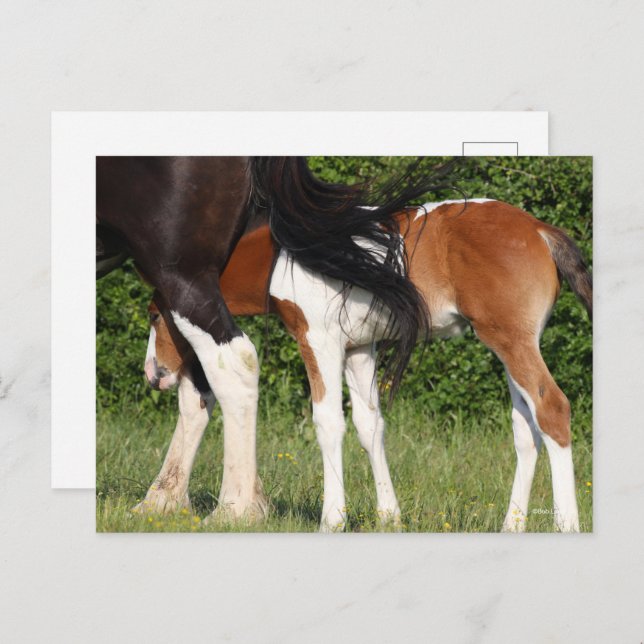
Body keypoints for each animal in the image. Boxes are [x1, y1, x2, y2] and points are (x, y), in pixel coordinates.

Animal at [96, 156, 444, 522]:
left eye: (152, 316)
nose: (153, 374)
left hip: (181, 273)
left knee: (234, 367)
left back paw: (234, 508)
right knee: (203, 389)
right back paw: (164, 500)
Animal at [143, 198, 592, 532]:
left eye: (154, 315)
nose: (153, 374)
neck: (285, 255)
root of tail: (539, 230)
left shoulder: (319, 340)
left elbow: (328, 422)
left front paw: (332, 520)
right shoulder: (360, 348)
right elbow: (369, 424)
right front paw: (388, 517)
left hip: (511, 341)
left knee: (552, 409)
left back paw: (566, 525)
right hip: (511, 344)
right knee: (526, 427)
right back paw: (511, 525)